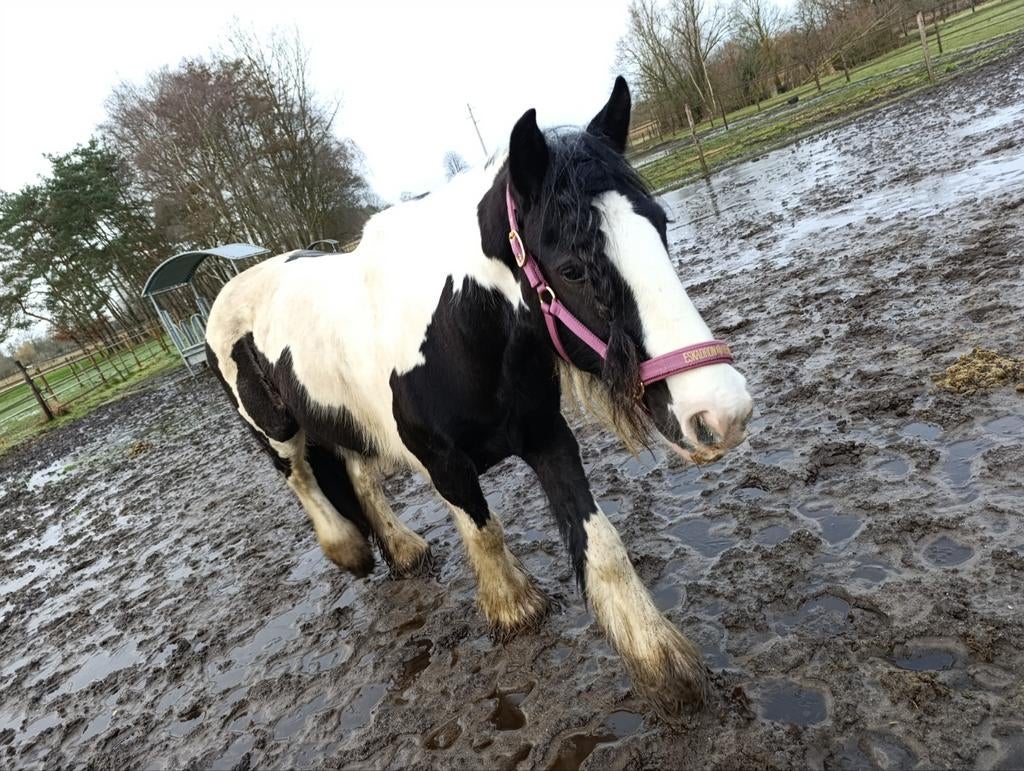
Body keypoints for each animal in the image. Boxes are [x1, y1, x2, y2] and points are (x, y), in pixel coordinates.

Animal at [204, 77, 753, 717]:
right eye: (572, 268)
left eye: (660, 226)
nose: (721, 411)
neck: (456, 329)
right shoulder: (444, 461)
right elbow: (484, 530)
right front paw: (514, 609)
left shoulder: (546, 437)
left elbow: (603, 547)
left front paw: (664, 667)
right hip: (276, 431)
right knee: (303, 480)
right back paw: (350, 550)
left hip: (348, 422)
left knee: (360, 477)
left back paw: (404, 551)